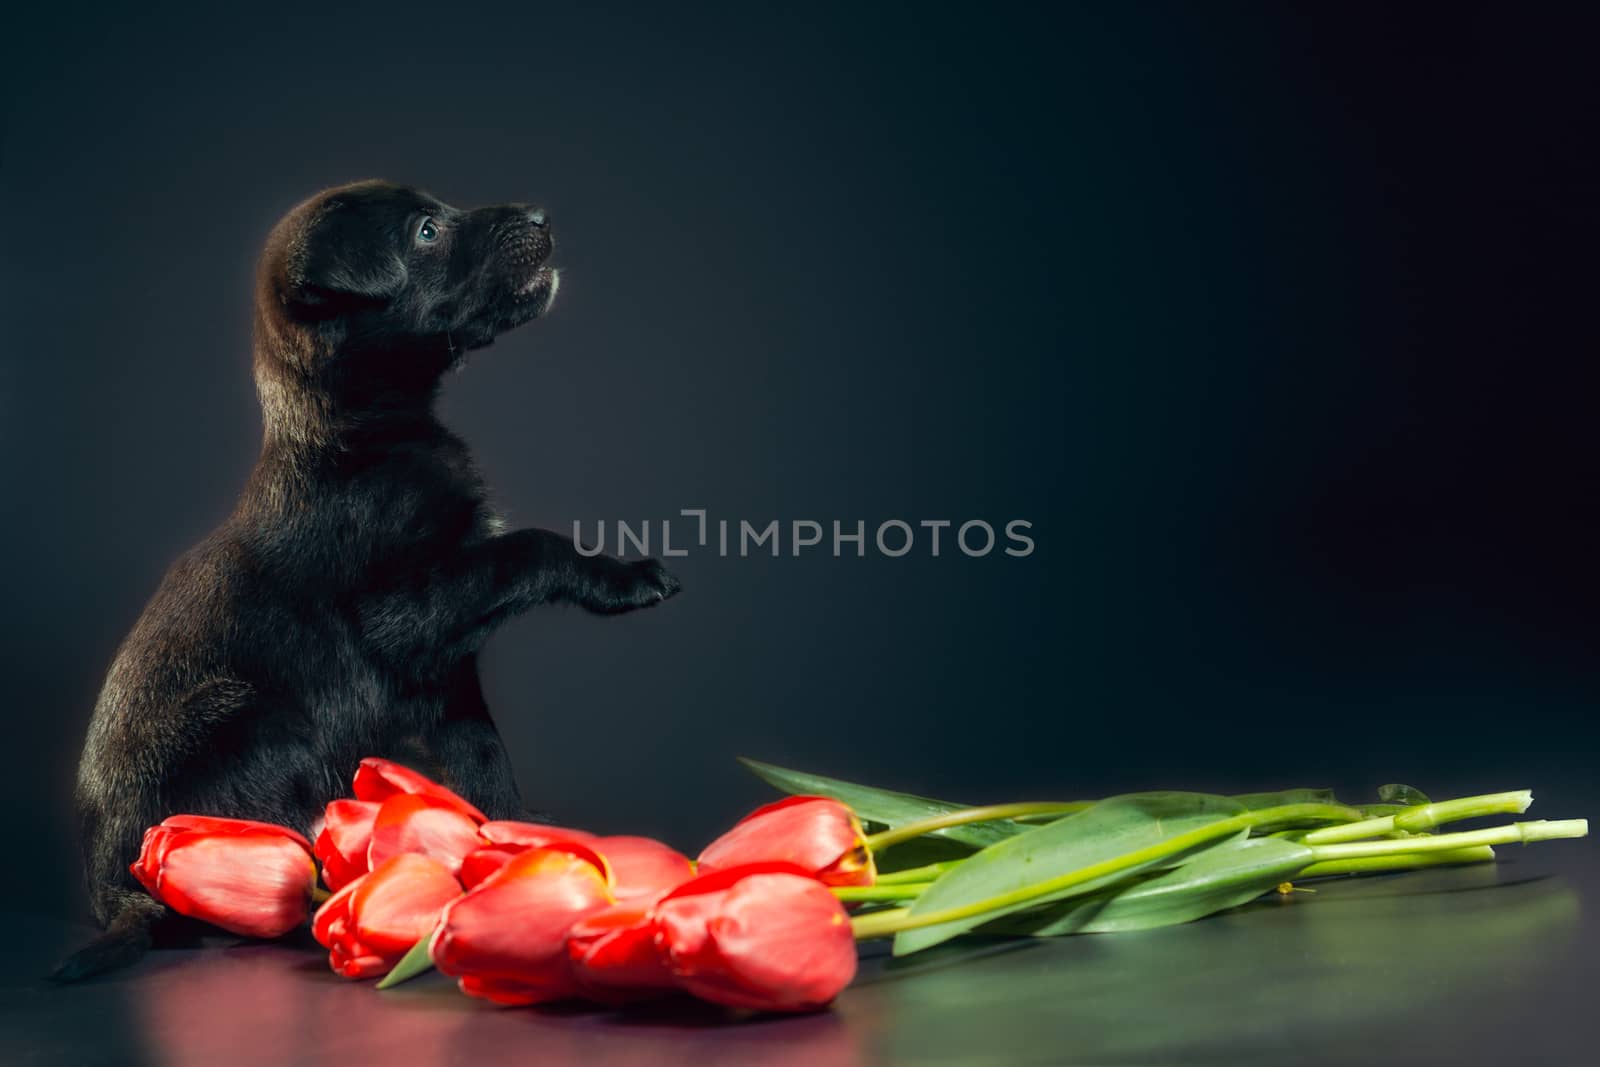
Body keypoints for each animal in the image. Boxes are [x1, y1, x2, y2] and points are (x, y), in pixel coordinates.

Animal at [56, 179, 678, 979]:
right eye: (425, 231)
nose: (542, 215)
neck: (363, 435)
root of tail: (110, 889)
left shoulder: (446, 671)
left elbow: (483, 754)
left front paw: (513, 839)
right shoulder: (404, 611)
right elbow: (532, 547)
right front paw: (618, 580)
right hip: (254, 719)